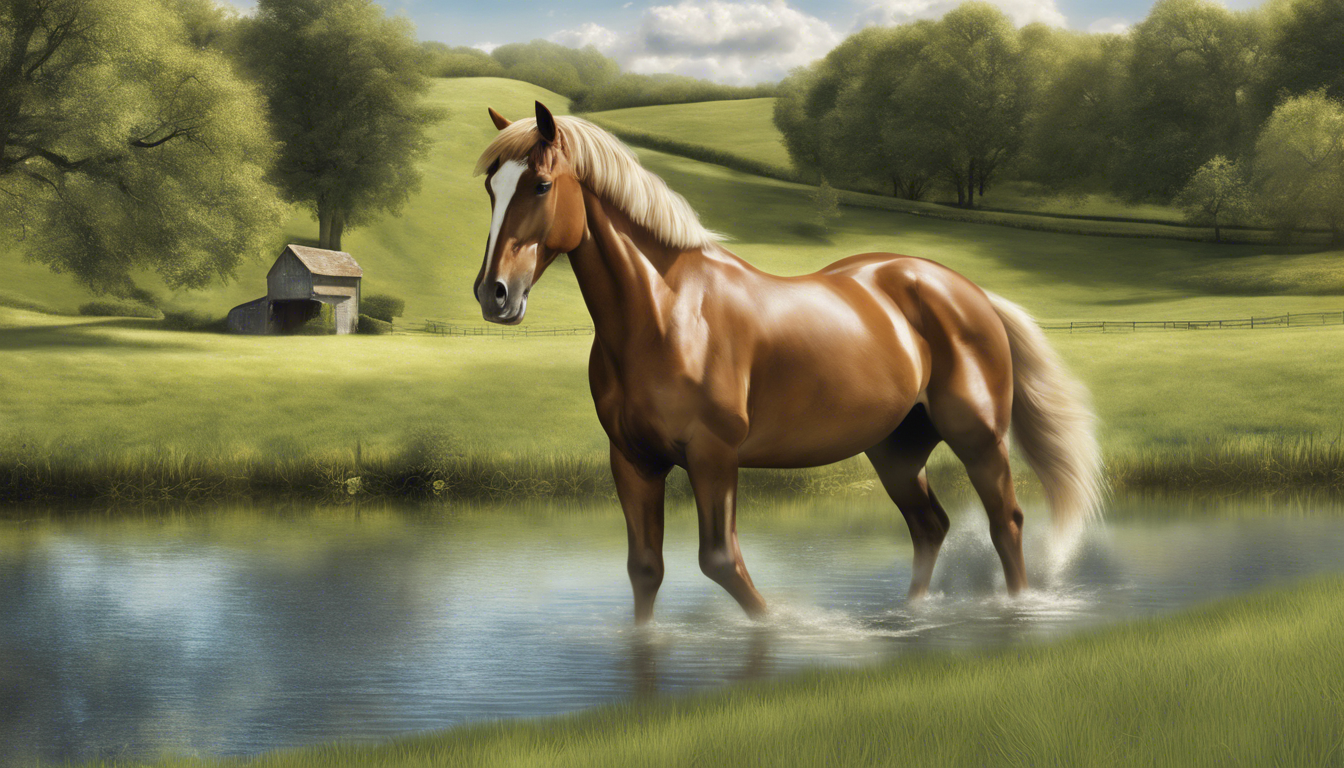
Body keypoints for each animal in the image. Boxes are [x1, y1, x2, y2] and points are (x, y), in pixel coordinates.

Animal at [471, 101, 1103, 624]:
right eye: (491, 188)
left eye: (542, 184)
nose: (494, 295)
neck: (664, 314)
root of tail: (969, 292)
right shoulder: (633, 462)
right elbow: (645, 570)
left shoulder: (714, 457)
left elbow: (722, 562)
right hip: (896, 450)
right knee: (930, 527)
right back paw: (909, 616)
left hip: (978, 438)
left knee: (1006, 522)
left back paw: (1014, 611)